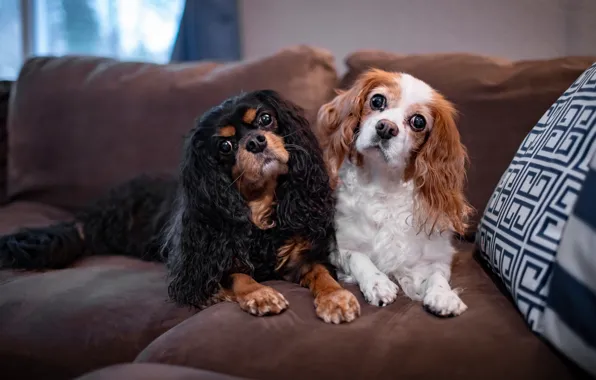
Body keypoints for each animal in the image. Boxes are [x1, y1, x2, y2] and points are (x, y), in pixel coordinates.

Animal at [0, 90, 358, 324]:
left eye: (266, 119)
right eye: (225, 146)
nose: (255, 141)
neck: (258, 207)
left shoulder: (300, 259)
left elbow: (321, 273)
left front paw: (336, 299)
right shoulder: (203, 263)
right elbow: (237, 276)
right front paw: (260, 294)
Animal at [314, 69, 472, 318]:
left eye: (418, 121)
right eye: (377, 101)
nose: (386, 127)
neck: (384, 184)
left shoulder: (437, 255)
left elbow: (437, 274)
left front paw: (443, 295)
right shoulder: (341, 247)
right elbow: (359, 258)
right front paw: (378, 283)